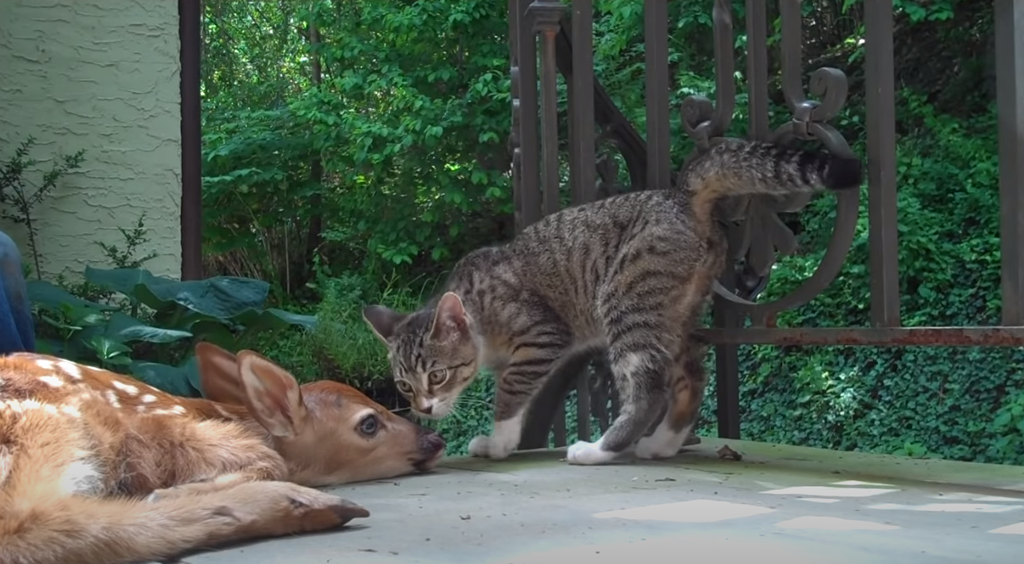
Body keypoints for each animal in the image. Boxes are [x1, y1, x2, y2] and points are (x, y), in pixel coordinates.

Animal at [364, 139, 860, 464]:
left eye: (437, 374)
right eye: (404, 385)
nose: (424, 409)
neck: (478, 309)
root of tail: (681, 197)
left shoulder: (542, 337)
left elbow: (510, 395)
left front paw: (498, 443)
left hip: (626, 305)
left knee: (647, 391)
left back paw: (600, 449)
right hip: (672, 315)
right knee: (691, 381)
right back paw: (661, 445)